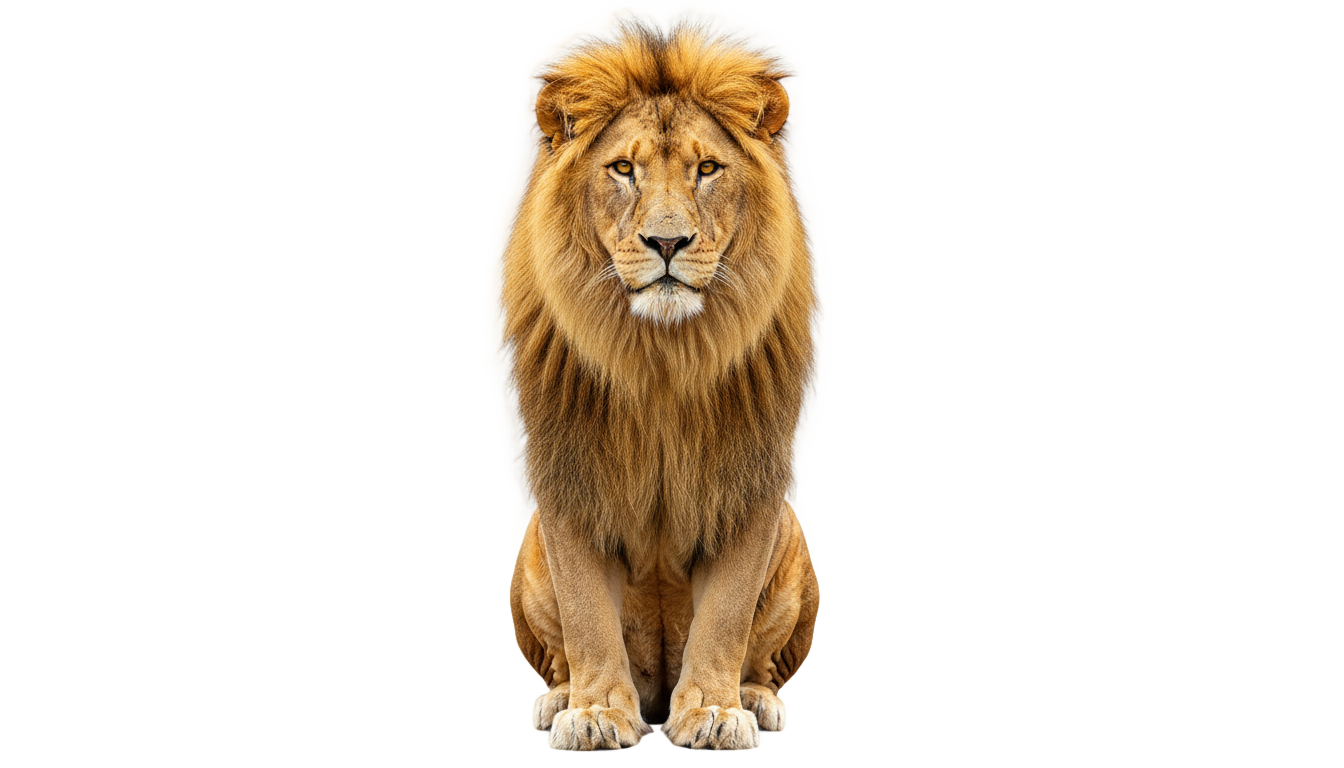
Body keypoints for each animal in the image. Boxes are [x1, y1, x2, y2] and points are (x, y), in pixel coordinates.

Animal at [502, 17, 818, 751]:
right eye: (623, 169)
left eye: (707, 169)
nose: (667, 244)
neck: (660, 357)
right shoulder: (569, 477)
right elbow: (586, 615)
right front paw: (593, 713)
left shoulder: (749, 480)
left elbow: (726, 616)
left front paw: (713, 711)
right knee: (559, 651)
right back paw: (558, 698)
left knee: (761, 657)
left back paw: (755, 698)